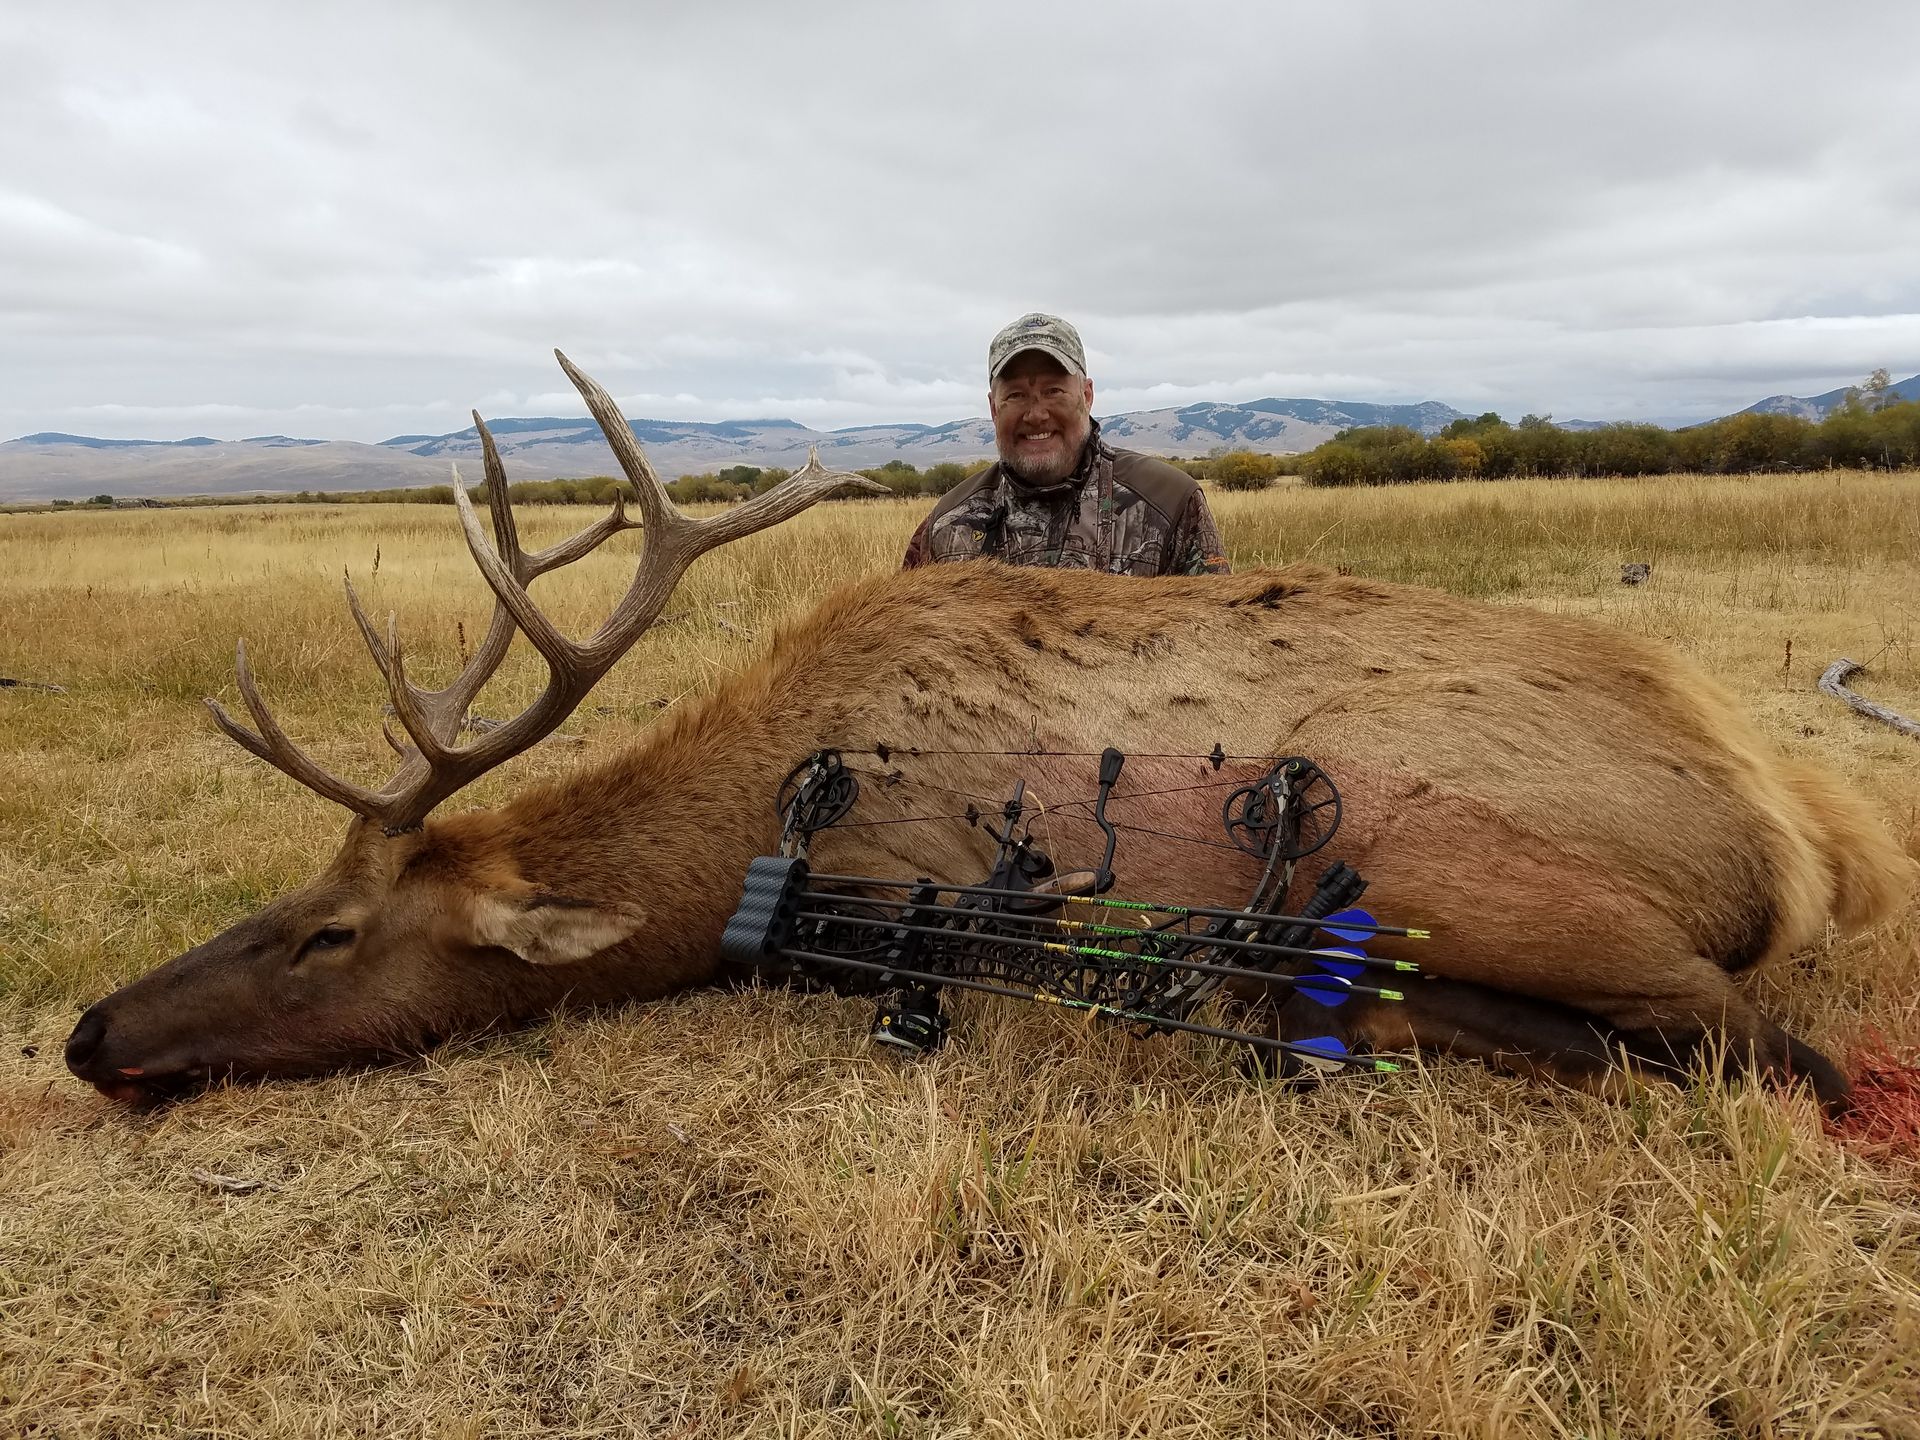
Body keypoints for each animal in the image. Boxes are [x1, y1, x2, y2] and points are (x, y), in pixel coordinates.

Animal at [64, 354, 1915, 1114]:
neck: (771, 817)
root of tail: (1801, 836)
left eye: (332, 933)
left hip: (1453, 861)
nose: (87, 1033)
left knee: (1764, 1048)